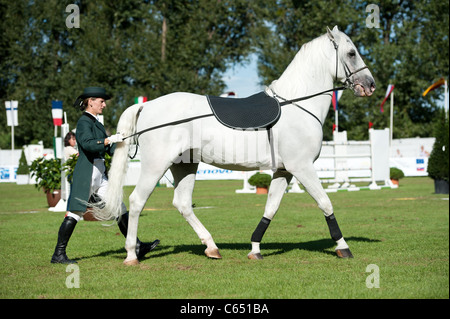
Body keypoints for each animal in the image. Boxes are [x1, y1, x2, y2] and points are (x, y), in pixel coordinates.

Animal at [94, 26, 376, 266]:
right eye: (351, 53)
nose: (370, 85)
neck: (296, 104)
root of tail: (147, 105)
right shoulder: (302, 167)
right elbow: (325, 203)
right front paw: (343, 247)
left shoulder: (284, 171)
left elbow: (271, 208)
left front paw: (255, 249)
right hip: (156, 165)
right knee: (136, 201)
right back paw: (132, 254)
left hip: (184, 165)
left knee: (182, 203)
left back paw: (211, 247)